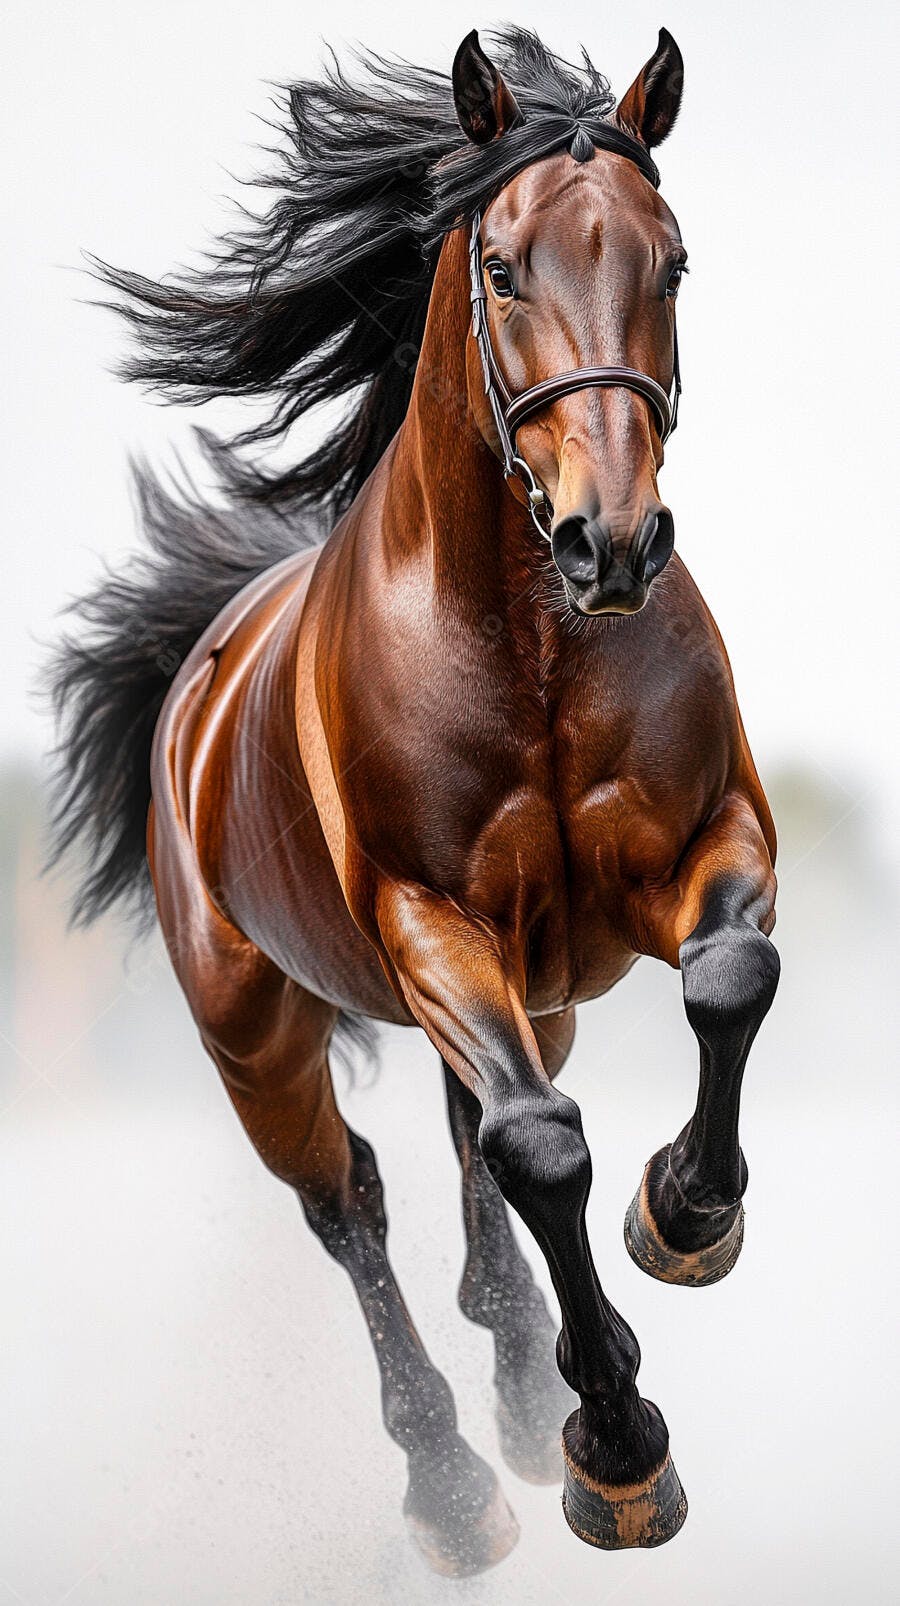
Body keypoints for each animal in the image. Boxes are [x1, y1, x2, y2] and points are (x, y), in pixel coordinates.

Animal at [50, 26, 779, 1575]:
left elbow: (727, 980)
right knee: (357, 1204)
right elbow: (541, 1146)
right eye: (502, 266)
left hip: (534, 991)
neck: (533, 643)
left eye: (673, 260)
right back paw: (454, 1480)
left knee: (467, 1142)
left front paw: (685, 1217)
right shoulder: (428, 918)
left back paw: (518, 1382)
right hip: (259, 1035)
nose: (614, 541)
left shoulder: (704, 845)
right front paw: (619, 1450)